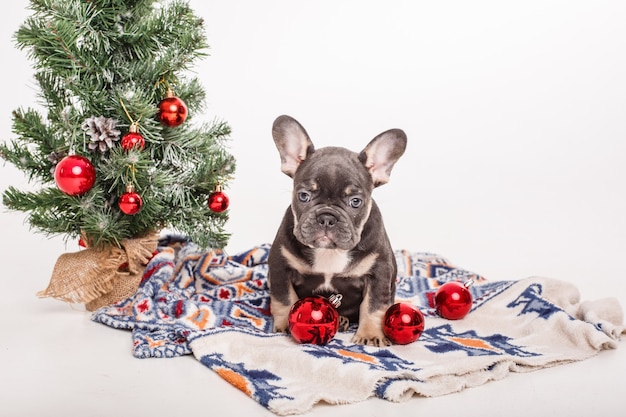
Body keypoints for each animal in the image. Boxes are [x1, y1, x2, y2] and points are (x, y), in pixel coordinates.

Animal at [266, 114, 404, 344]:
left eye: (355, 201)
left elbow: (373, 306)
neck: (329, 251)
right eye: (303, 195)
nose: (327, 217)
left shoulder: (379, 271)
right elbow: (284, 298)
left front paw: (370, 335)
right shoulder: (280, 265)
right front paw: (286, 324)